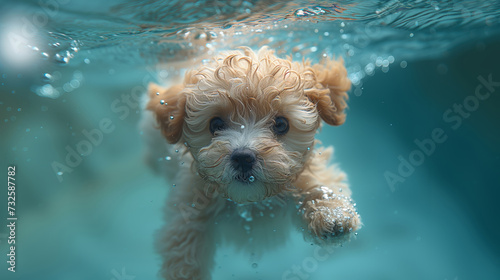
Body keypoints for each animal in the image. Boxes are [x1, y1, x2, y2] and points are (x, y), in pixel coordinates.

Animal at [143, 47, 362, 278]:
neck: (251, 202)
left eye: (281, 124)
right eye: (215, 124)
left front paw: (332, 213)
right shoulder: (189, 207)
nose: (243, 157)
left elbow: (319, 181)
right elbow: (183, 247)